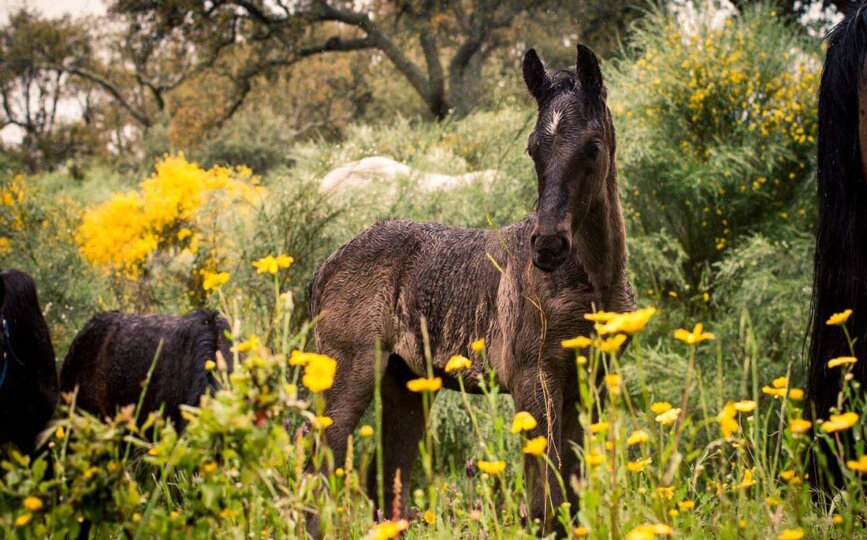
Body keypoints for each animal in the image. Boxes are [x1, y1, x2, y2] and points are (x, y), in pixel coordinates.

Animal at [308, 44, 636, 528]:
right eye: (533, 148)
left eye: (592, 146)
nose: (548, 244)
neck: (591, 281)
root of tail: (327, 265)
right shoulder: (534, 380)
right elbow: (544, 502)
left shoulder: (589, 382)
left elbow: (572, 500)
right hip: (348, 370)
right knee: (316, 460)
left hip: (405, 384)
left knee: (388, 483)